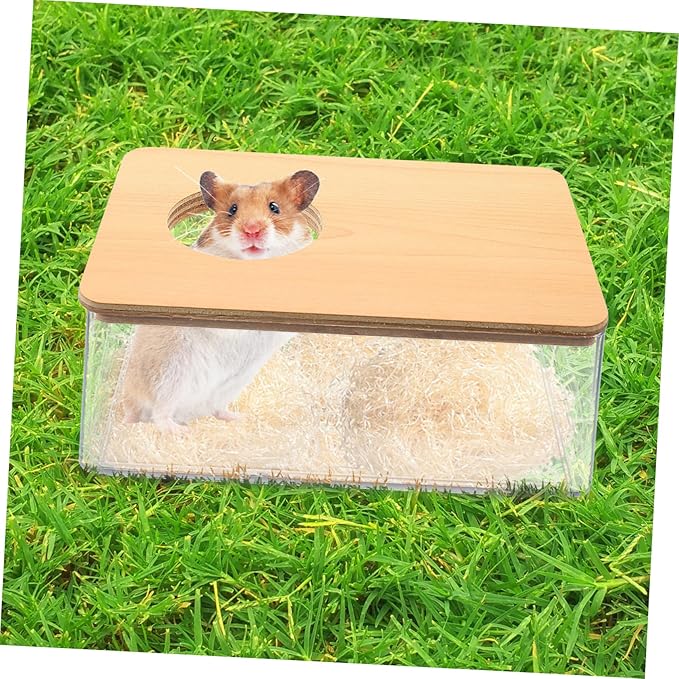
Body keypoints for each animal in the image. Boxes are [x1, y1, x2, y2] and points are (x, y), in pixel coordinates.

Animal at [120, 169, 320, 433]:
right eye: (232, 209)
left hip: (232, 383)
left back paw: (238, 418)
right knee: (159, 414)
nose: (252, 230)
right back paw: (179, 432)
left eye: (274, 207)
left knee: (214, 409)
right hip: (170, 373)